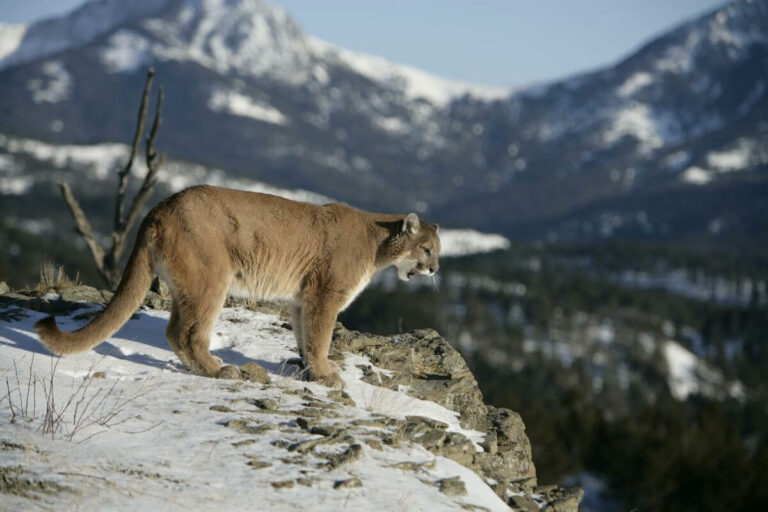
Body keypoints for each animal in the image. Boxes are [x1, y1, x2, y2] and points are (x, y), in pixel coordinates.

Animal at [36, 185, 440, 388]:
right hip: (212, 278)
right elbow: (321, 335)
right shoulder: (325, 295)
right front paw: (326, 374)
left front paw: (308, 367)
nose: (435, 268)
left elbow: (304, 335)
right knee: (184, 332)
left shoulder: (302, 298)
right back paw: (218, 370)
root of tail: (160, 206)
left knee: (176, 329)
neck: (378, 243)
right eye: (428, 249)